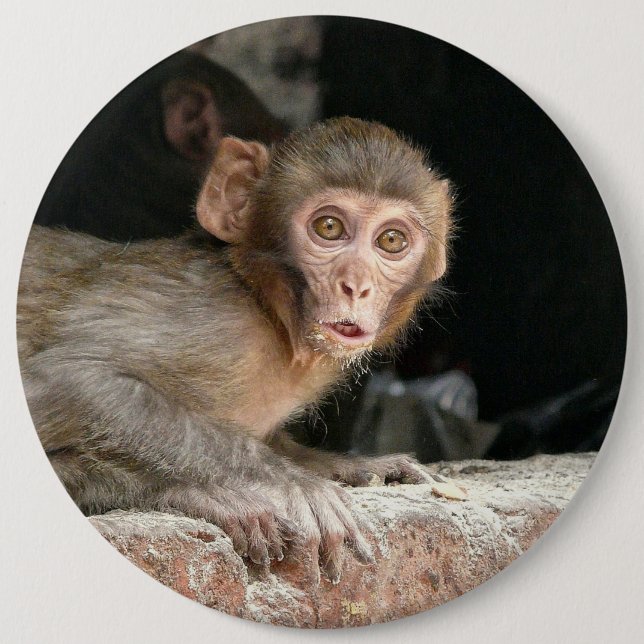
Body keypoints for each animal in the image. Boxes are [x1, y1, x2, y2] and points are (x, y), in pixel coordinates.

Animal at [18, 117, 453, 582]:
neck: (271, 315)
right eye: (329, 228)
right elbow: (63, 376)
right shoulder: (212, 318)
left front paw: (353, 466)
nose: (356, 285)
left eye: (390, 240)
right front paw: (291, 482)